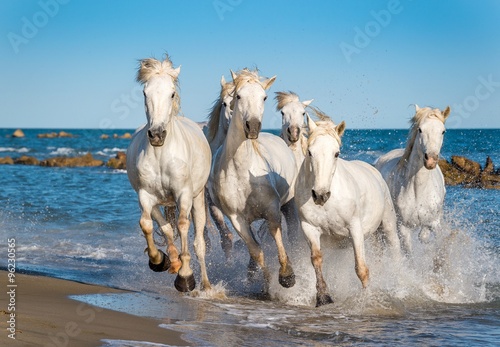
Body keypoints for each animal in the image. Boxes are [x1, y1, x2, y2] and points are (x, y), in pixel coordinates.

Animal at [127, 57, 213, 294]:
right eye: (145, 93)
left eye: (172, 93)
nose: (157, 134)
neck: (161, 154)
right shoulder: (145, 195)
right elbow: (148, 225)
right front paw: (159, 260)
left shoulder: (184, 194)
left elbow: (183, 226)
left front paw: (186, 277)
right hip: (158, 202)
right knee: (164, 226)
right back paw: (172, 261)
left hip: (197, 198)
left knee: (199, 243)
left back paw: (206, 285)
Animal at [209, 68, 298, 290]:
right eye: (238, 96)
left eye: (264, 97)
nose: (253, 127)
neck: (242, 171)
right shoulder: (237, 219)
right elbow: (256, 250)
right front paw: (267, 284)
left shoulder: (272, 209)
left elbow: (275, 233)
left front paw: (287, 275)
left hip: (289, 205)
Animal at [294, 111, 400, 308]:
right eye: (310, 152)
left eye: (336, 153)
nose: (320, 195)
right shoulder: (309, 228)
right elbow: (317, 260)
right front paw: (323, 298)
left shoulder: (354, 228)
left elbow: (361, 268)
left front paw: (367, 299)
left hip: (388, 225)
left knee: (395, 252)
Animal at [376, 105, 450, 253]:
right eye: (420, 129)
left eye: (443, 131)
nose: (431, 160)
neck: (418, 190)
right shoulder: (403, 227)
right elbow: (409, 251)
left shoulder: (435, 222)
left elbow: (425, 236)